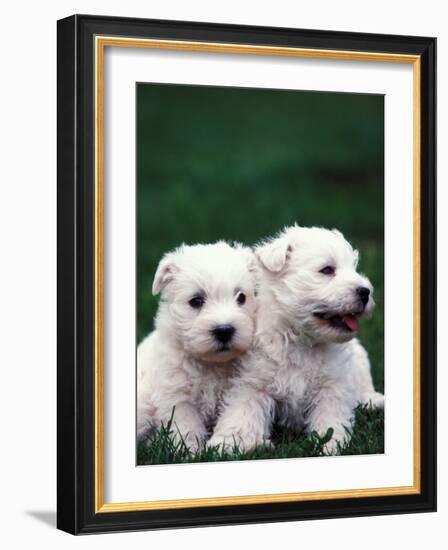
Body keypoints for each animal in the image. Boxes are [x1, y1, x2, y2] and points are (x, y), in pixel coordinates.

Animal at [136, 242, 258, 452]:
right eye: (196, 301)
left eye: (241, 297)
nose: (224, 330)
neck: (212, 364)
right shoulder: (177, 397)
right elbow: (185, 427)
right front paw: (189, 451)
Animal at [212, 226, 384, 454]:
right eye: (327, 270)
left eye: (353, 268)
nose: (365, 292)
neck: (301, 340)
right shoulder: (253, 383)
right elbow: (240, 413)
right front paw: (225, 443)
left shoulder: (332, 387)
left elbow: (329, 419)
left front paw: (330, 446)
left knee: (364, 387)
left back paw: (375, 401)